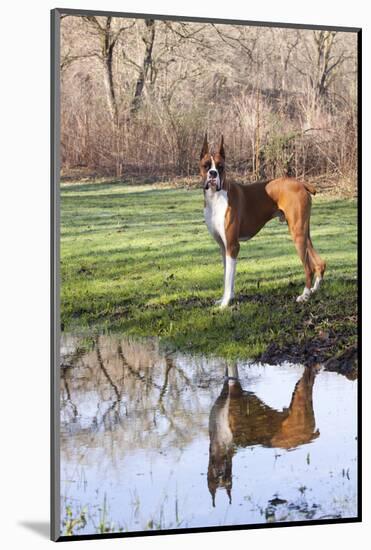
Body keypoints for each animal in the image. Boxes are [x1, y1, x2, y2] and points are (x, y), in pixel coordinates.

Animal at [202, 133, 326, 306]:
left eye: (220, 167)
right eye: (206, 166)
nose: (213, 173)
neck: (216, 197)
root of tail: (301, 183)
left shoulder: (233, 246)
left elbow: (228, 278)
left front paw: (225, 303)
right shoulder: (224, 247)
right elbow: (228, 275)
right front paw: (226, 298)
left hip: (297, 234)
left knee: (308, 267)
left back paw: (305, 295)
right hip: (303, 232)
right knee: (319, 263)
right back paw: (314, 290)